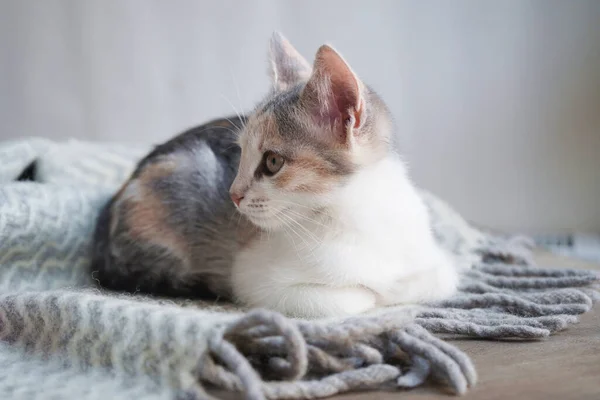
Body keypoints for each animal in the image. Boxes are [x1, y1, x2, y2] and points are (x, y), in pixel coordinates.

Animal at [90, 32, 460, 318]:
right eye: (240, 153)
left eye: (271, 162)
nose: (233, 194)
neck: (360, 216)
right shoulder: (254, 279)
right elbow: (353, 299)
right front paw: (376, 293)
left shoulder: (439, 266)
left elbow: (433, 283)